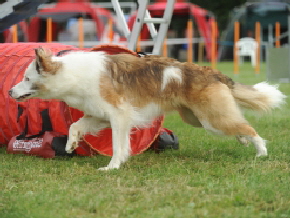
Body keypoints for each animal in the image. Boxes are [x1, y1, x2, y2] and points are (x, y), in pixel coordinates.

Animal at [8, 47, 286, 170]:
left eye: (27, 78)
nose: (10, 92)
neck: (71, 74)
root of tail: (211, 72)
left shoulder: (119, 116)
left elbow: (119, 145)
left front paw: (113, 167)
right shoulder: (99, 114)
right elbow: (75, 125)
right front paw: (70, 144)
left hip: (211, 119)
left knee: (249, 128)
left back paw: (261, 152)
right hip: (198, 119)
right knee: (239, 125)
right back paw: (243, 141)